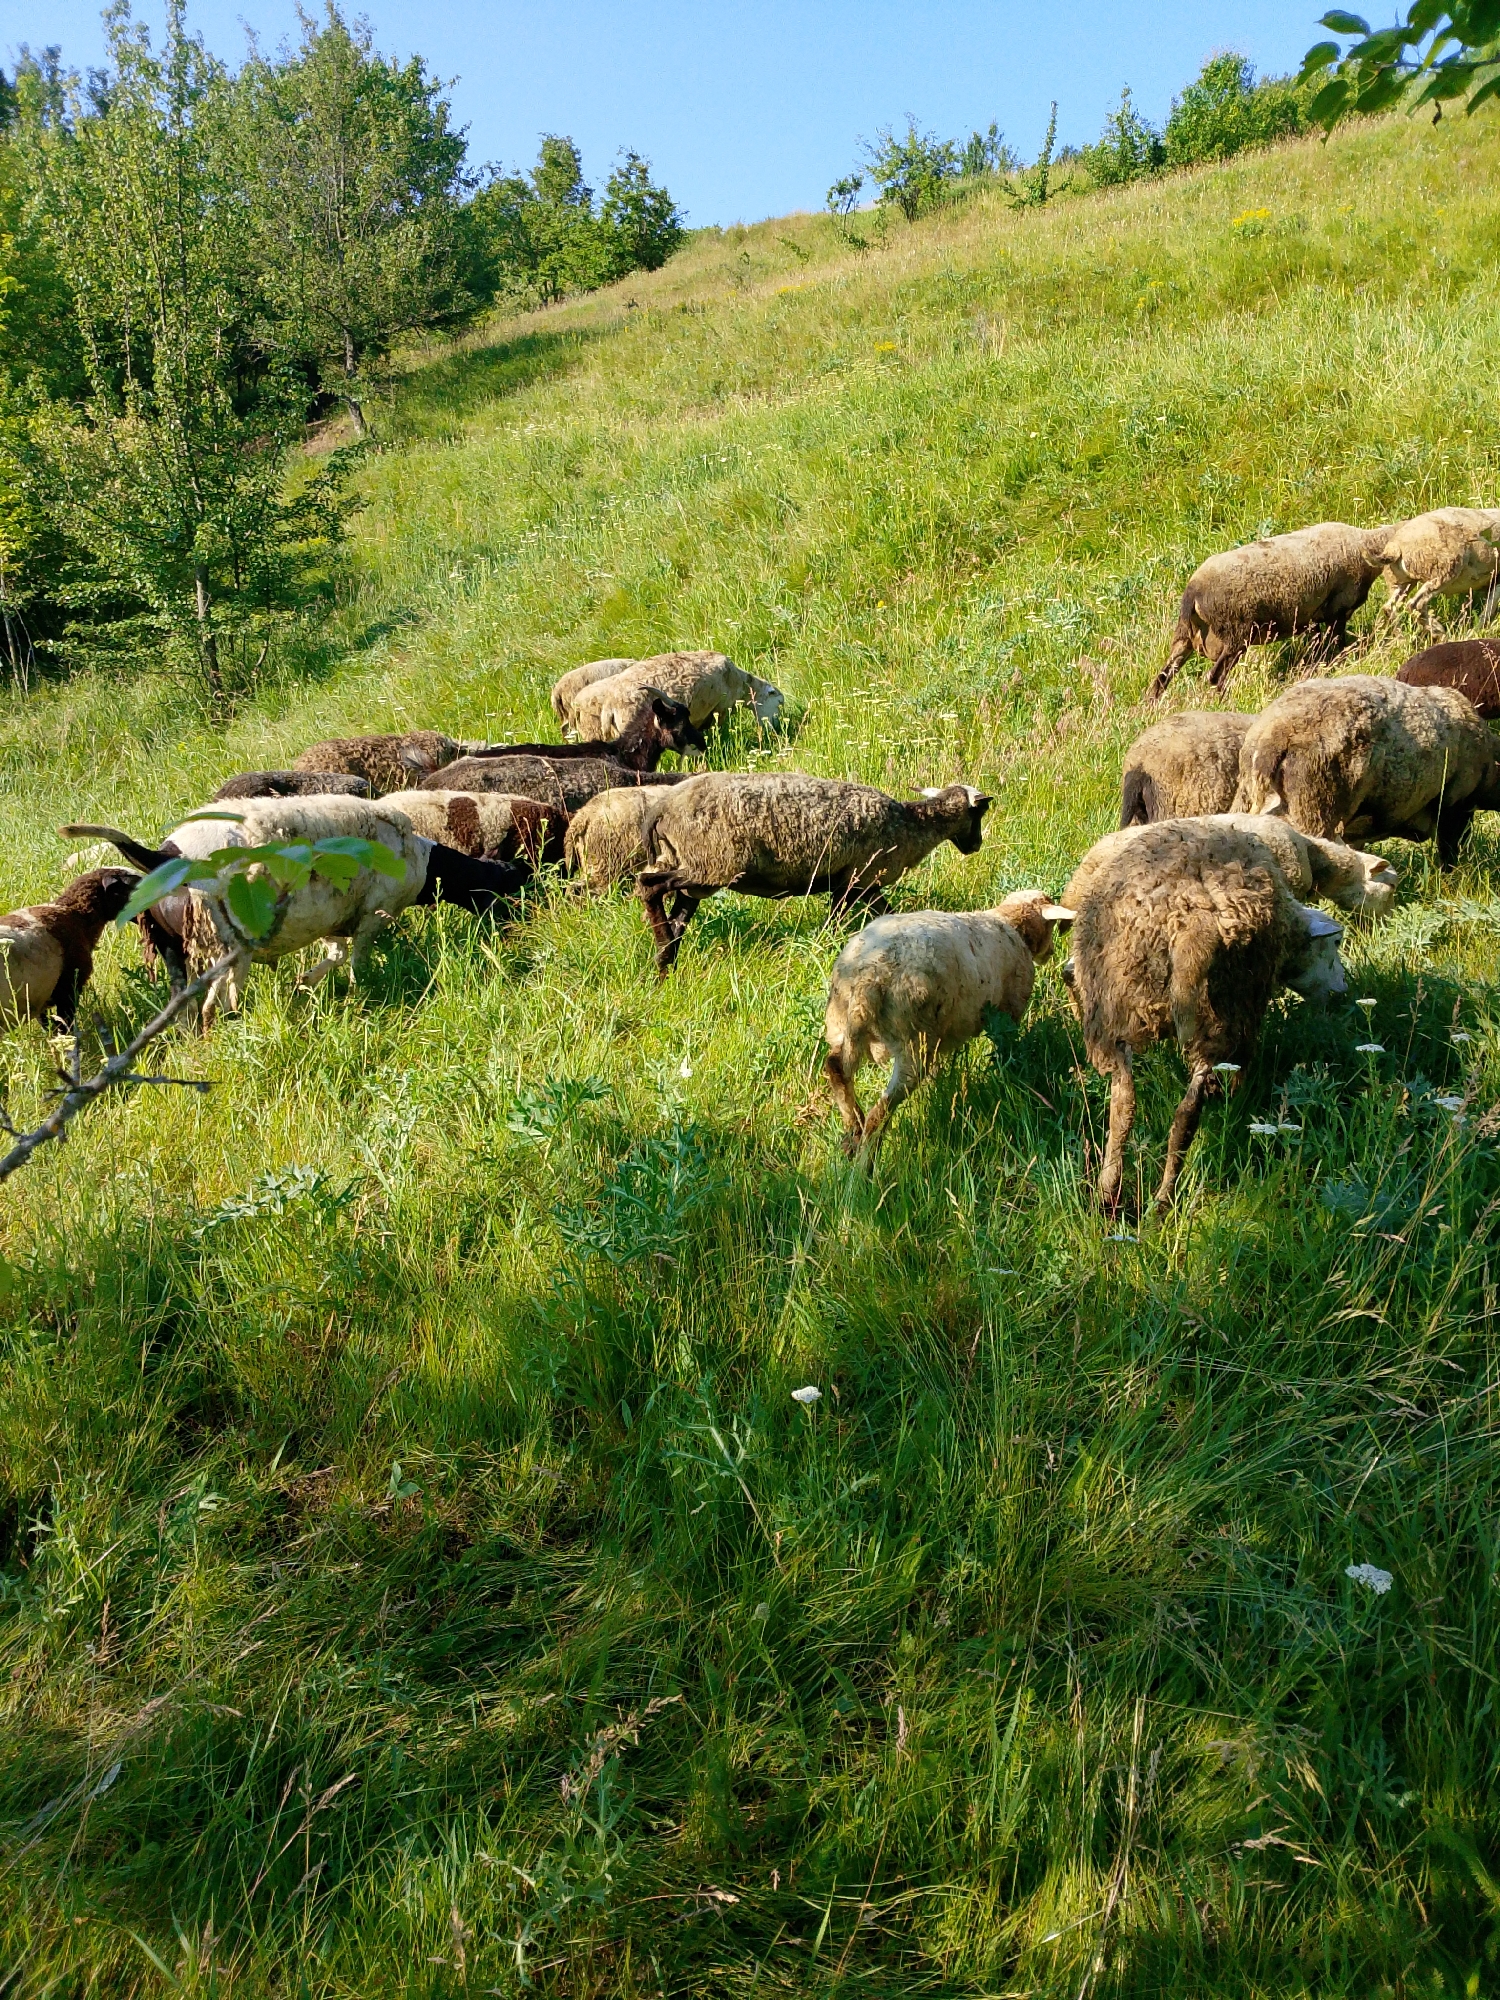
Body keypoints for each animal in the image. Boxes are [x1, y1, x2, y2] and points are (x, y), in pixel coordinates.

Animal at [63, 796, 526, 1030]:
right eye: (508, 890)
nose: (520, 932)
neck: (422, 858)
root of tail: (164, 857)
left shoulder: (334, 919)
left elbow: (336, 955)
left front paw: (305, 984)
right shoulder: (373, 916)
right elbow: (356, 963)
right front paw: (359, 996)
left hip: (176, 952)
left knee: (188, 1008)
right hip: (226, 947)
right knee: (218, 1004)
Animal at [586, 772, 992, 974]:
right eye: (980, 813)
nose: (976, 845)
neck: (911, 825)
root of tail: (663, 807)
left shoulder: (850, 884)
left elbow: (870, 916)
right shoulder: (859, 880)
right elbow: (845, 922)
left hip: (692, 868)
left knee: (676, 913)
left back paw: (666, 958)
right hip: (713, 864)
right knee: (648, 885)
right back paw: (663, 954)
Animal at [823, 891, 1072, 1157]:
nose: (1051, 951)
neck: (1010, 924)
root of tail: (868, 978)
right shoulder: (1010, 1012)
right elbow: (1006, 1051)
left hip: (840, 1023)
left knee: (836, 1068)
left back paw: (852, 1131)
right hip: (913, 1041)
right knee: (881, 1110)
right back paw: (866, 1157)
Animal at [1060, 819, 1348, 1211]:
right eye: (1334, 944)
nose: (1343, 990)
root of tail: (1190, 922)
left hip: (1115, 1005)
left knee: (1125, 1101)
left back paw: (1111, 1191)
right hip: (1222, 1012)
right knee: (1186, 1112)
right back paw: (1162, 1199)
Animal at [1149, 523, 1392, 700]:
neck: (1365, 545)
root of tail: (1192, 593)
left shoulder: (1313, 615)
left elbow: (1318, 645)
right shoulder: (1339, 610)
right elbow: (1336, 644)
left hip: (1184, 638)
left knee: (1162, 677)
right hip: (1235, 633)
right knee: (1215, 676)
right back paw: (1222, 700)